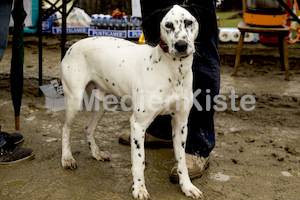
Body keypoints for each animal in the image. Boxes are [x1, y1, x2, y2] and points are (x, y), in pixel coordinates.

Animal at [60, 4, 203, 198]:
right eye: (168, 25)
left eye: (189, 22)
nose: (181, 45)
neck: (173, 71)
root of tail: (73, 45)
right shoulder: (138, 124)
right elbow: (139, 162)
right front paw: (139, 189)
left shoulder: (180, 123)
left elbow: (181, 160)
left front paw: (187, 186)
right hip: (74, 100)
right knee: (65, 129)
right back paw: (67, 158)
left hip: (103, 104)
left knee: (89, 127)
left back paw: (96, 153)